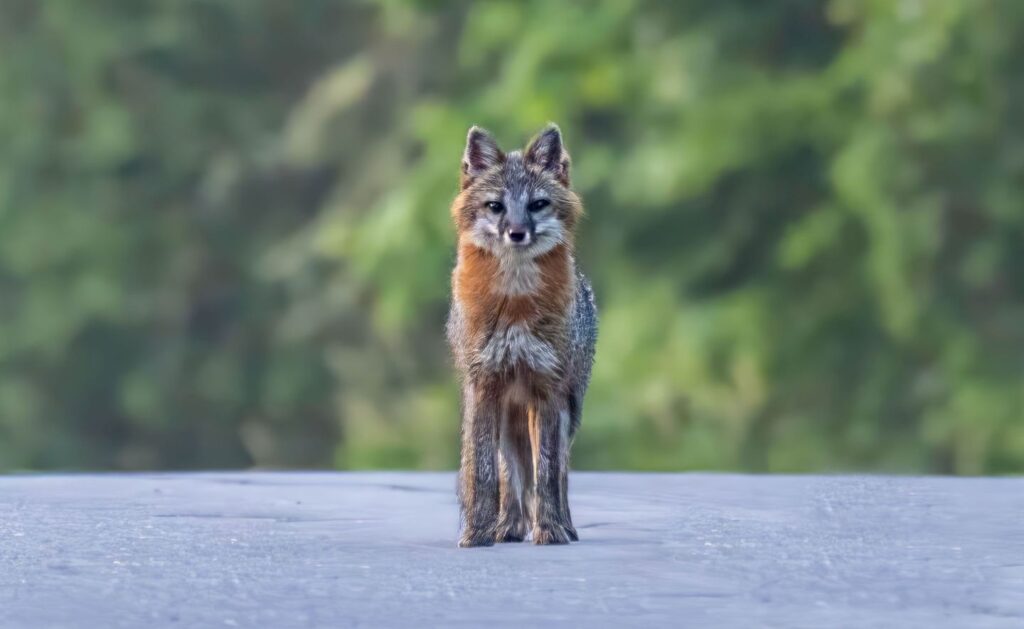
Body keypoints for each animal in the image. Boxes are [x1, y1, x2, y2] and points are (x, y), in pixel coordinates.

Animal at [444, 123, 598, 549]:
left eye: (537, 205)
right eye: (496, 206)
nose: (516, 233)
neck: (514, 304)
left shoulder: (548, 389)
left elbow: (546, 473)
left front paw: (550, 530)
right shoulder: (483, 386)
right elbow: (483, 474)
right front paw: (477, 532)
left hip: (565, 413)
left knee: (558, 473)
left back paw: (564, 525)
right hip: (507, 416)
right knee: (509, 473)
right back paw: (507, 526)